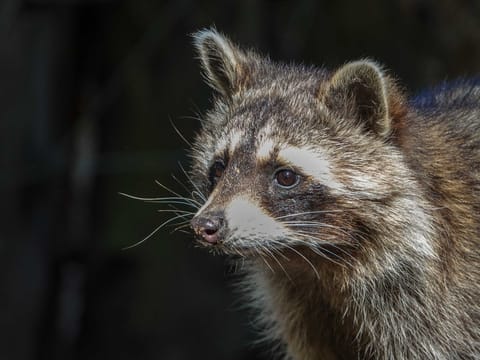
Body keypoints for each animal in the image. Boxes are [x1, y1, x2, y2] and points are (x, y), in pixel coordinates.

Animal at [186, 28, 478, 360]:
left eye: (285, 176)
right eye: (220, 167)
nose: (205, 225)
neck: (316, 263)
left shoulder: (443, 311)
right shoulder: (307, 314)